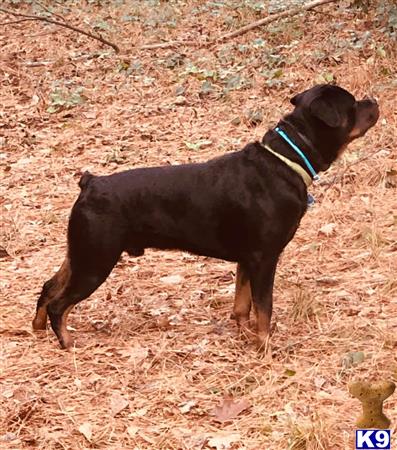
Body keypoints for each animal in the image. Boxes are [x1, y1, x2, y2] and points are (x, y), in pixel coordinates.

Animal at [32, 85, 378, 352]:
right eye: (352, 104)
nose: (374, 101)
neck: (286, 160)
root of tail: (90, 183)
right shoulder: (265, 259)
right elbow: (264, 309)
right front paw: (265, 346)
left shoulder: (247, 260)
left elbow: (242, 305)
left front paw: (244, 334)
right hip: (96, 261)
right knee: (60, 304)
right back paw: (67, 342)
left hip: (80, 254)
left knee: (49, 286)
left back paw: (37, 327)